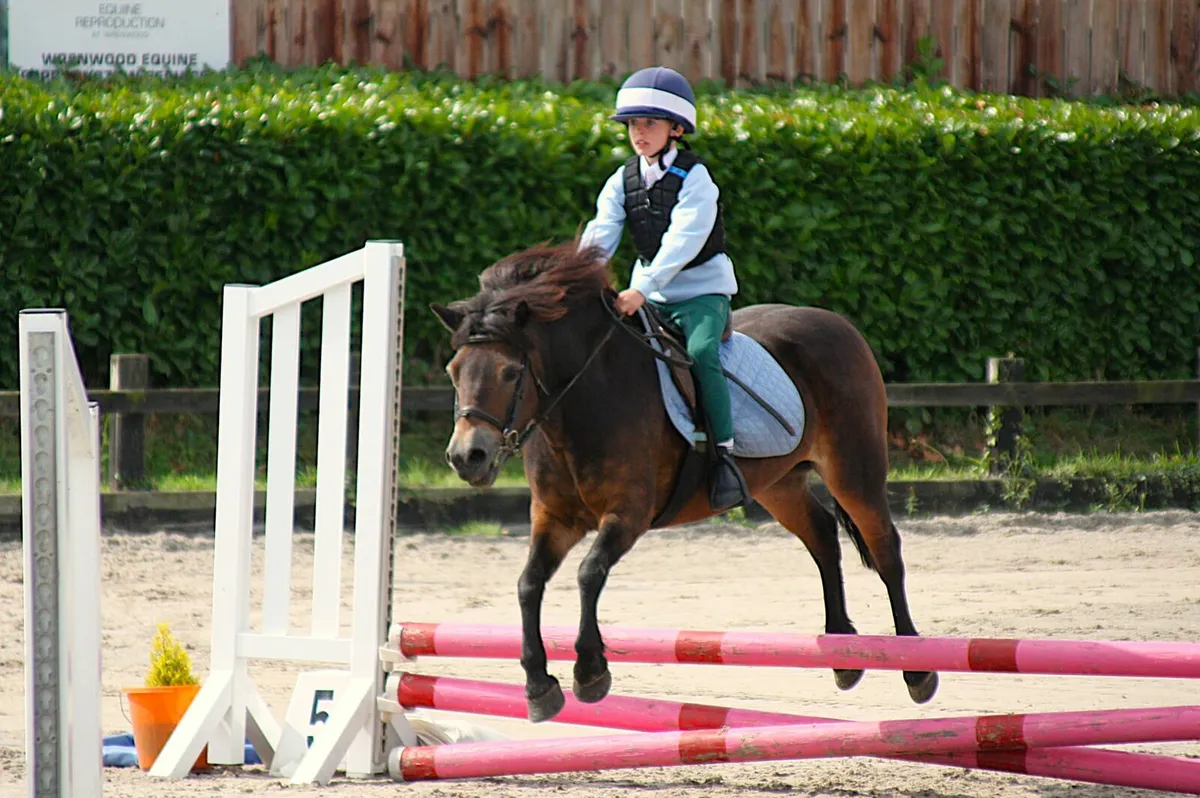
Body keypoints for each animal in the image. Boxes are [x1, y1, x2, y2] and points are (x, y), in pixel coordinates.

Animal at [430, 240, 938, 723]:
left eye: (511, 372)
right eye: (453, 371)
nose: (466, 457)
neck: (581, 401)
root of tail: (839, 324)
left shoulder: (628, 514)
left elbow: (589, 572)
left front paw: (590, 671)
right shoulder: (555, 518)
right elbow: (528, 583)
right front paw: (539, 687)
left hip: (855, 471)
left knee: (885, 549)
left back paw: (916, 668)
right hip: (778, 483)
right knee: (822, 536)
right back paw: (842, 655)